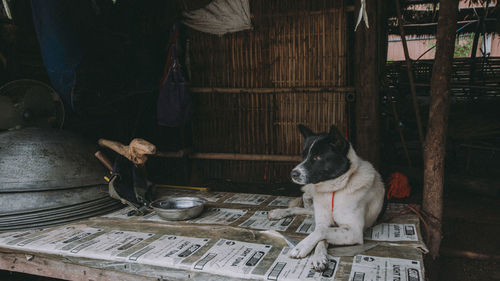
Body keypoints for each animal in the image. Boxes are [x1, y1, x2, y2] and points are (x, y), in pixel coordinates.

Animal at [268, 123, 384, 270]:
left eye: (318, 157)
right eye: (303, 156)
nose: (293, 174)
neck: (334, 189)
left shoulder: (354, 231)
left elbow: (321, 232)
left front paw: (302, 247)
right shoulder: (324, 220)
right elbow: (321, 231)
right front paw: (318, 255)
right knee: (304, 204)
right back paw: (278, 212)